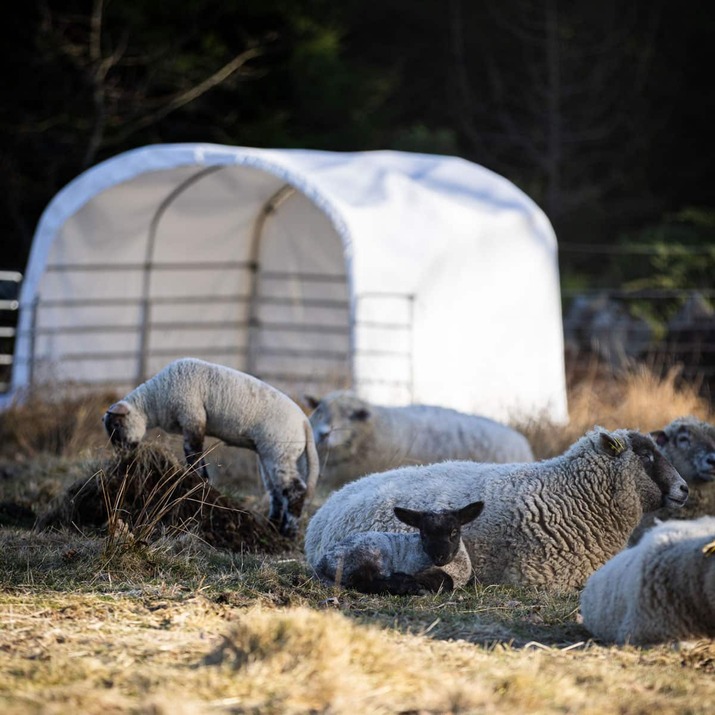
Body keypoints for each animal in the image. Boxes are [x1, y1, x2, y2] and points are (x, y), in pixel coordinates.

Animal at [103, 357, 319, 537]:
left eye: (116, 425)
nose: (123, 455)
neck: (155, 399)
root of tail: (304, 422)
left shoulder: (192, 416)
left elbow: (194, 454)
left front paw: (198, 479)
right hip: (271, 456)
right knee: (276, 492)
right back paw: (272, 526)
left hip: (281, 453)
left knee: (295, 490)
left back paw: (288, 531)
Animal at [313, 500, 484, 595]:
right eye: (424, 534)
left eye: (454, 531)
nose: (440, 556)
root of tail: (321, 563)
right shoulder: (415, 567)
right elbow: (442, 580)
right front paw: (414, 584)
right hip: (367, 556)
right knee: (362, 582)